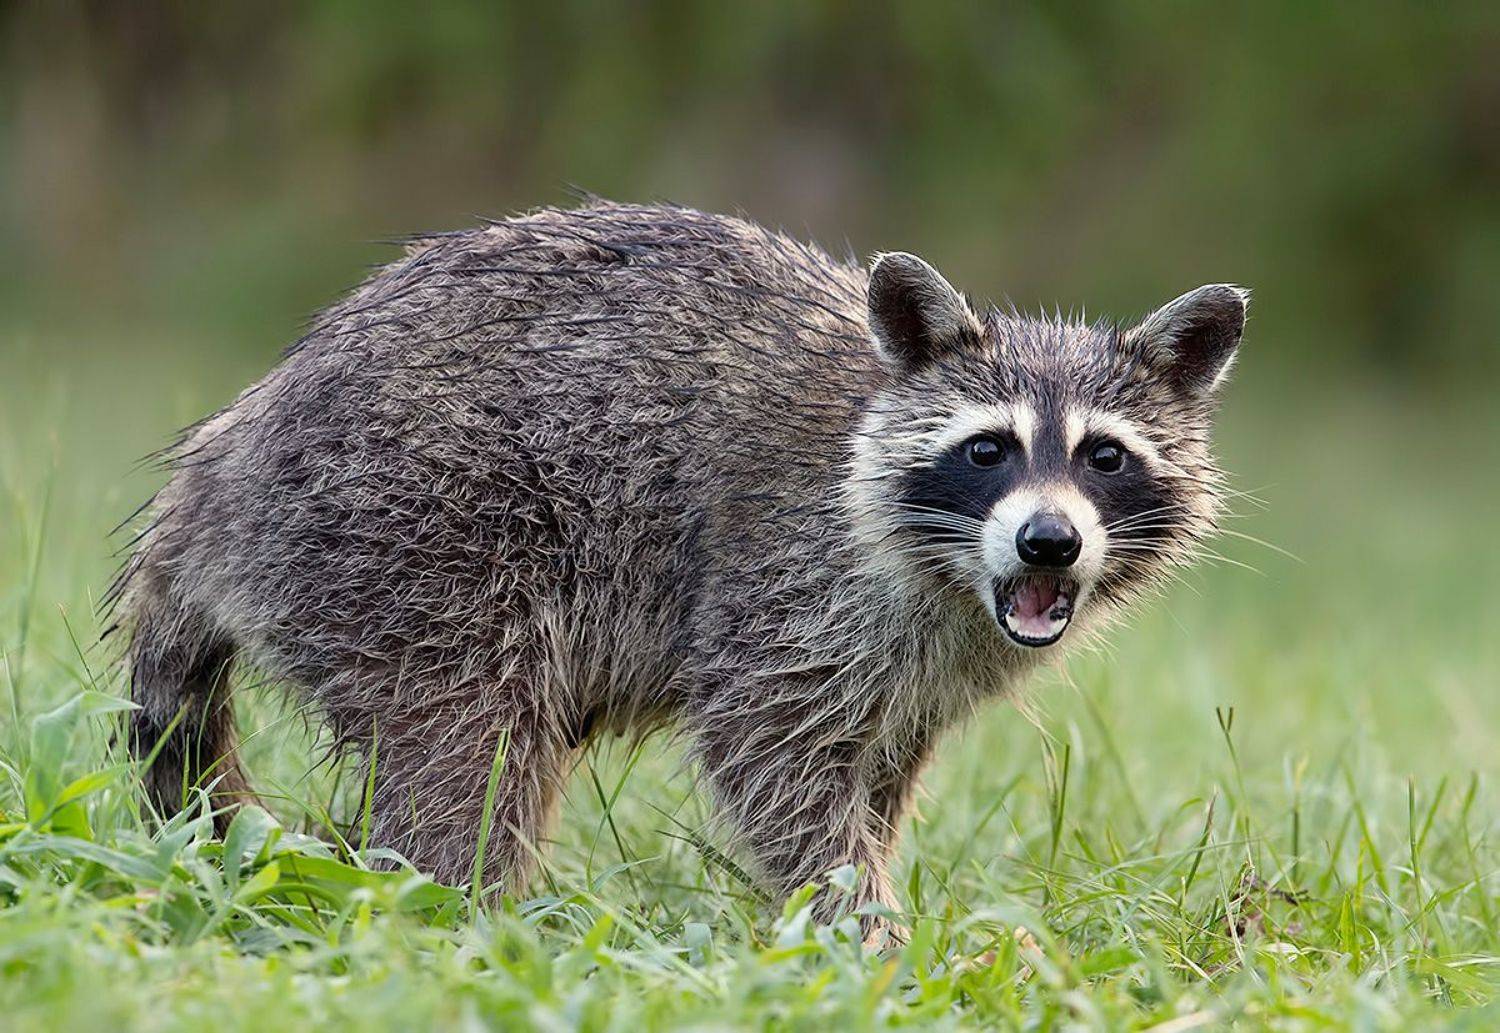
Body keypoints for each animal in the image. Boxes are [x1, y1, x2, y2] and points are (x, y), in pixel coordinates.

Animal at [113, 201, 1245, 941]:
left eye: (1104, 456)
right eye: (988, 449)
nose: (1049, 542)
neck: (949, 579)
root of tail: (230, 451)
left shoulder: (924, 671)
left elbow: (877, 776)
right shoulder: (787, 575)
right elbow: (773, 756)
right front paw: (863, 931)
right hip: (409, 532)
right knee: (468, 748)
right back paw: (454, 914)